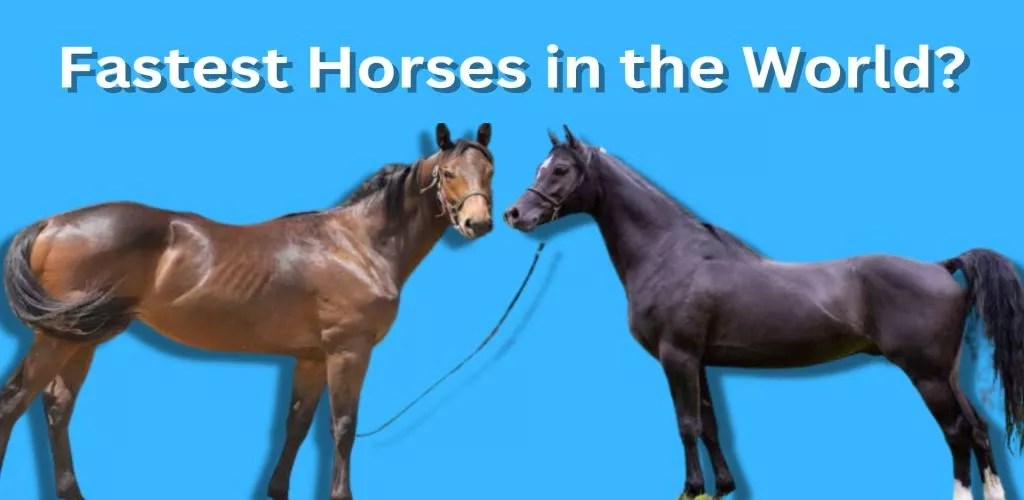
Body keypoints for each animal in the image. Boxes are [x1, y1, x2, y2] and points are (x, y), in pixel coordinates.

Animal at [0, 122, 495, 500]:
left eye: (490, 170)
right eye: (448, 173)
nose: (480, 223)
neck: (356, 246)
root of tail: (52, 223)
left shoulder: (311, 358)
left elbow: (296, 424)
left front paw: (276, 491)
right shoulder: (348, 351)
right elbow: (342, 426)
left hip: (82, 338)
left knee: (56, 407)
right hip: (59, 338)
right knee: (14, 402)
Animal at [503, 126, 1024, 500]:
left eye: (560, 169)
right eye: (542, 166)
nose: (515, 215)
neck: (672, 254)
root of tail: (940, 266)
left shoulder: (677, 357)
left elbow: (686, 424)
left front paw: (691, 489)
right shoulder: (698, 362)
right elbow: (710, 425)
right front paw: (722, 488)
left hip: (927, 374)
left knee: (957, 433)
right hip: (946, 373)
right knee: (979, 431)